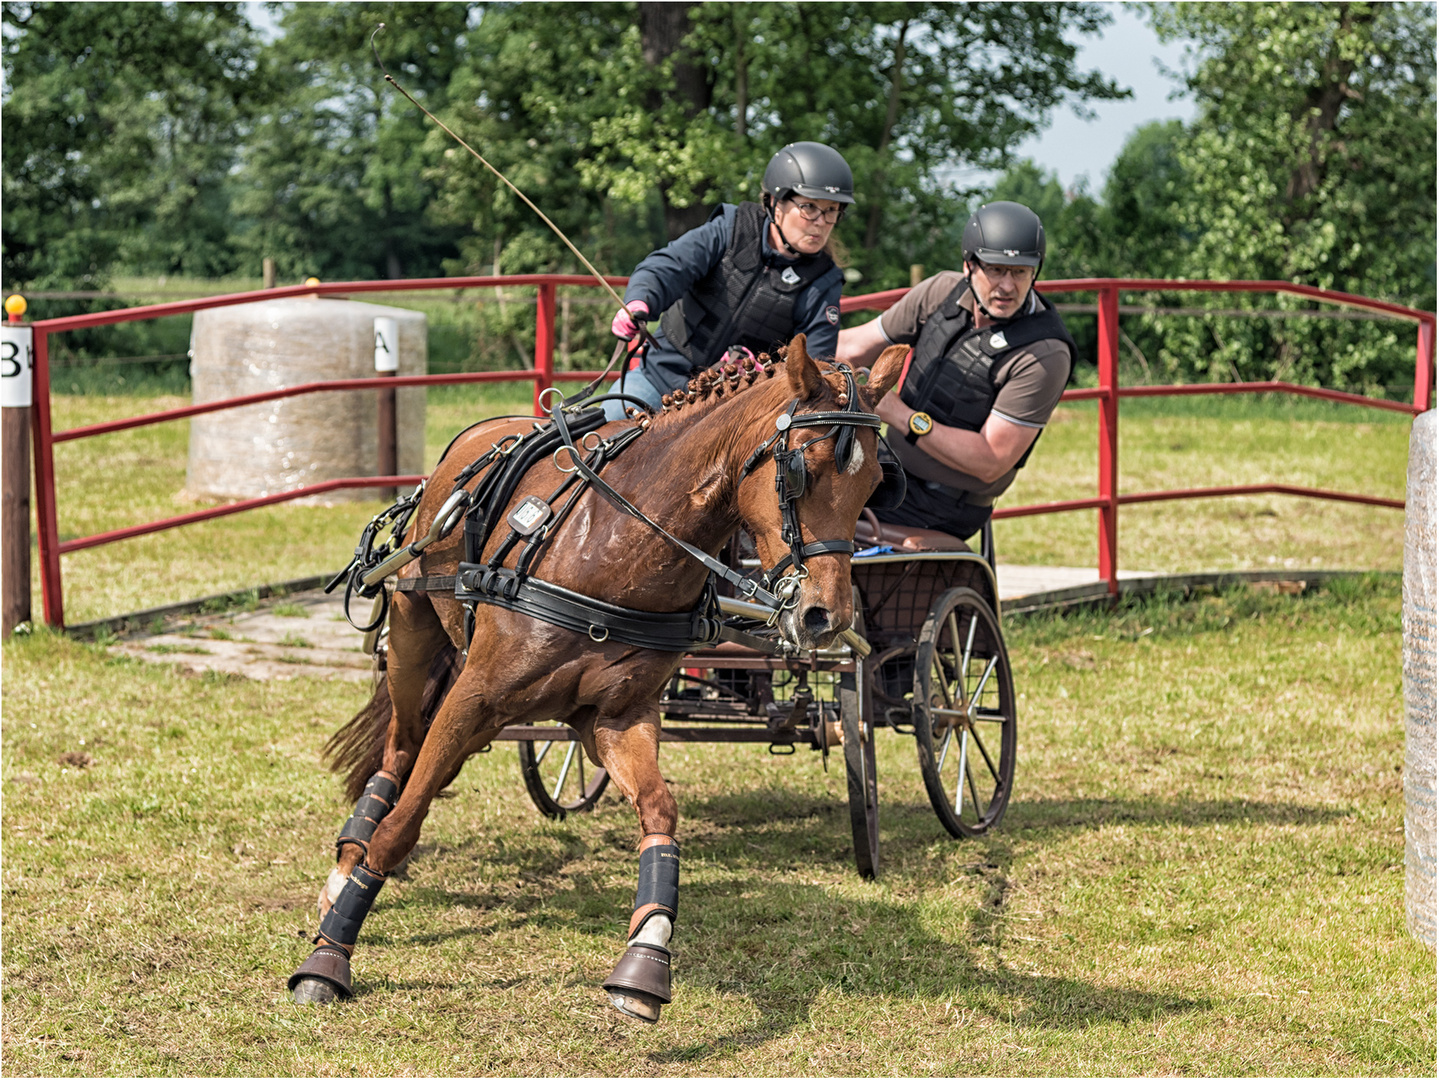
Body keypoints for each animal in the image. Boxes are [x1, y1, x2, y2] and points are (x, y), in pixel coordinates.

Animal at [286, 336, 903, 1023]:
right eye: (801, 469)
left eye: (876, 482)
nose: (828, 616)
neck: (617, 546)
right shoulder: (473, 697)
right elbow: (402, 825)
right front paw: (328, 956)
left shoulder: (616, 716)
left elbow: (660, 813)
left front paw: (645, 963)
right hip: (413, 632)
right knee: (399, 751)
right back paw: (346, 868)